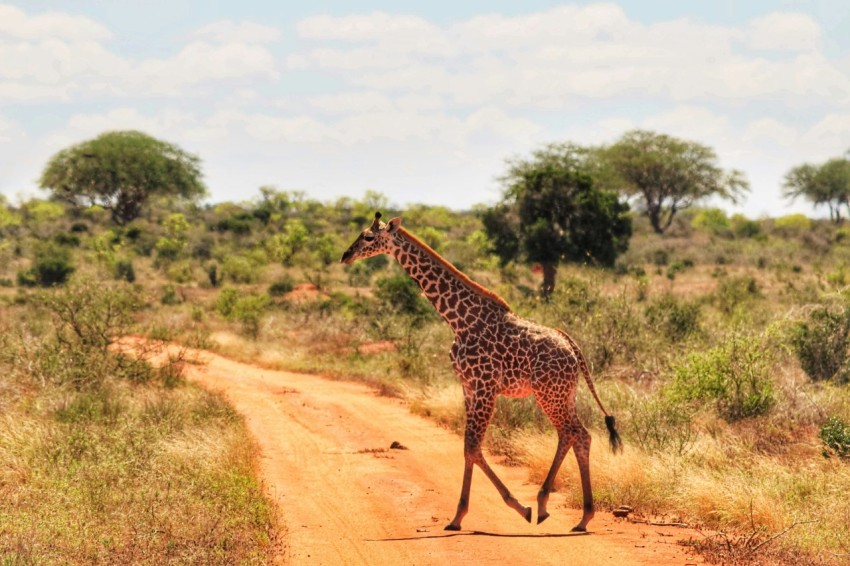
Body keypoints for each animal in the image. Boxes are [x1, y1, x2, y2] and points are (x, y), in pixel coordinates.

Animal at [341, 212, 622, 532]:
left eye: (368, 237)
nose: (345, 255)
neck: (458, 320)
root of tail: (574, 349)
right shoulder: (468, 386)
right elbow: (469, 447)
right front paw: (458, 517)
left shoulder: (485, 386)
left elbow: (473, 446)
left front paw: (517, 508)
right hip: (565, 393)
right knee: (577, 435)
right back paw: (578, 516)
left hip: (549, 394)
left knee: (573, 433)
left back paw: (552, 507)